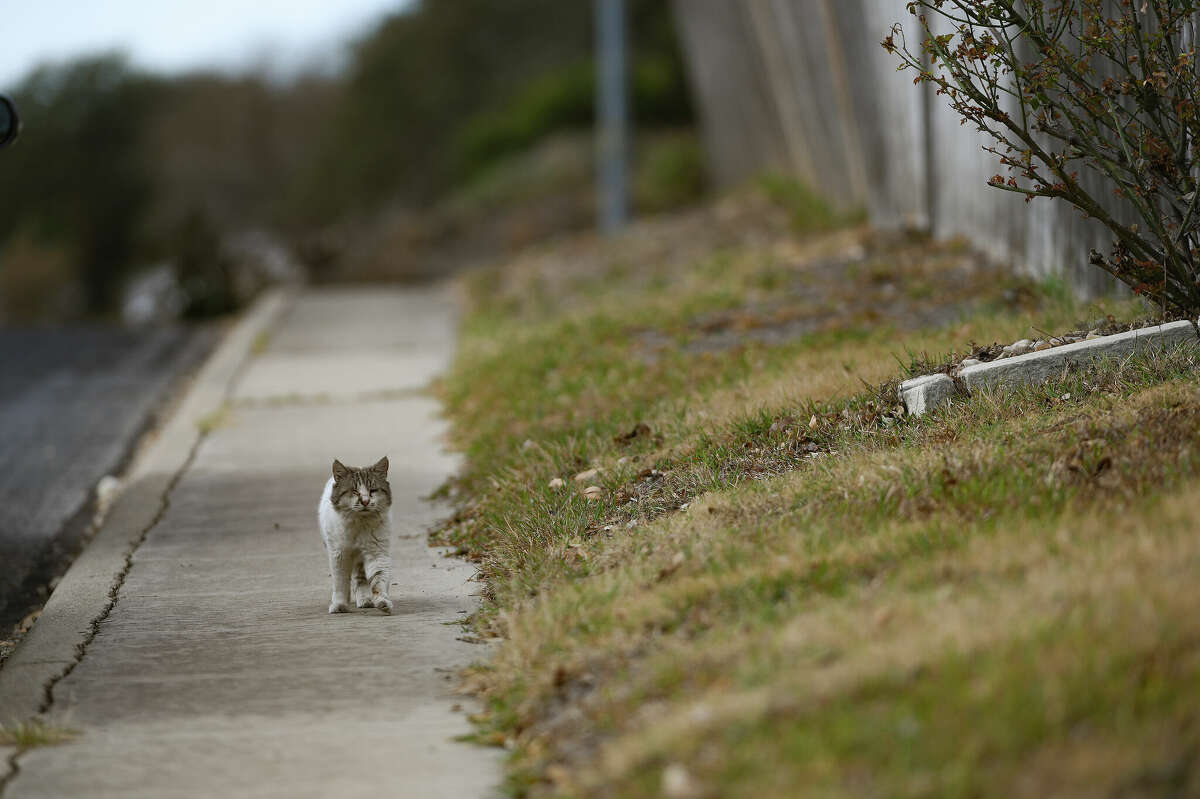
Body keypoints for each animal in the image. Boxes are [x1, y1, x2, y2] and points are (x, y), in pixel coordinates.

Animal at [319, 453, 393, 609]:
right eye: (354, 491)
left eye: (373, 490)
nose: (365, 501)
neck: (360, 524)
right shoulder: (339, 554)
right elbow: (341, 581)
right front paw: (339, 604)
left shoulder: (377, 552)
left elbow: (379, 579)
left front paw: (383, 601)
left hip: (361, 559)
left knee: (360, 579)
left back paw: (365, 600)